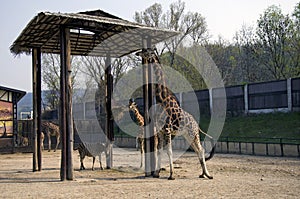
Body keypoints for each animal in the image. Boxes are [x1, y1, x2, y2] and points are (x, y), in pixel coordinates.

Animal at [136, 48, 216, 180]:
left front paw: (171, 175)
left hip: (193, 133)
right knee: (198, 150)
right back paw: (202, 174)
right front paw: (156, 173)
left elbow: (169, 151)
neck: (162, 99)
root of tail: (197, 125)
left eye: (146, 51)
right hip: (187, 135)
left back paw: (208, 175)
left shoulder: (167, 129)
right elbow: (159, 151)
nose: (137, 53)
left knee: (201, 149)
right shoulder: (160, 131)